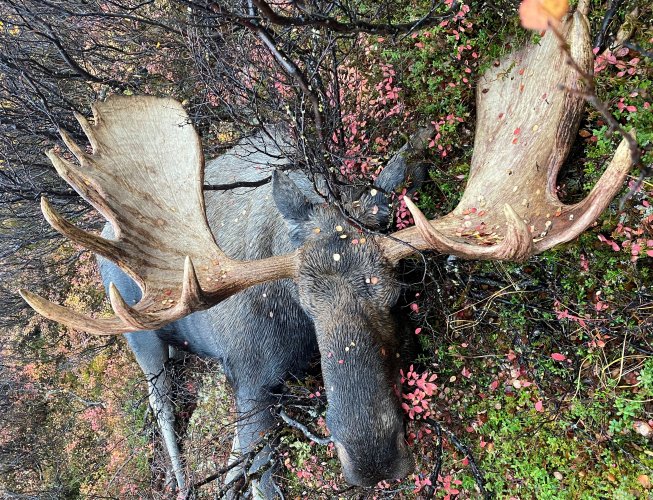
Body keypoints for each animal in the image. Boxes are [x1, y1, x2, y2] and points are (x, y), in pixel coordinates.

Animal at [20, 6, 633, 496]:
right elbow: (259, 479)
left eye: (398, 295)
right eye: (307, 309)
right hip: (139, 337)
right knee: (165, 412)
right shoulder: (250, 380)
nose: (372, 459)